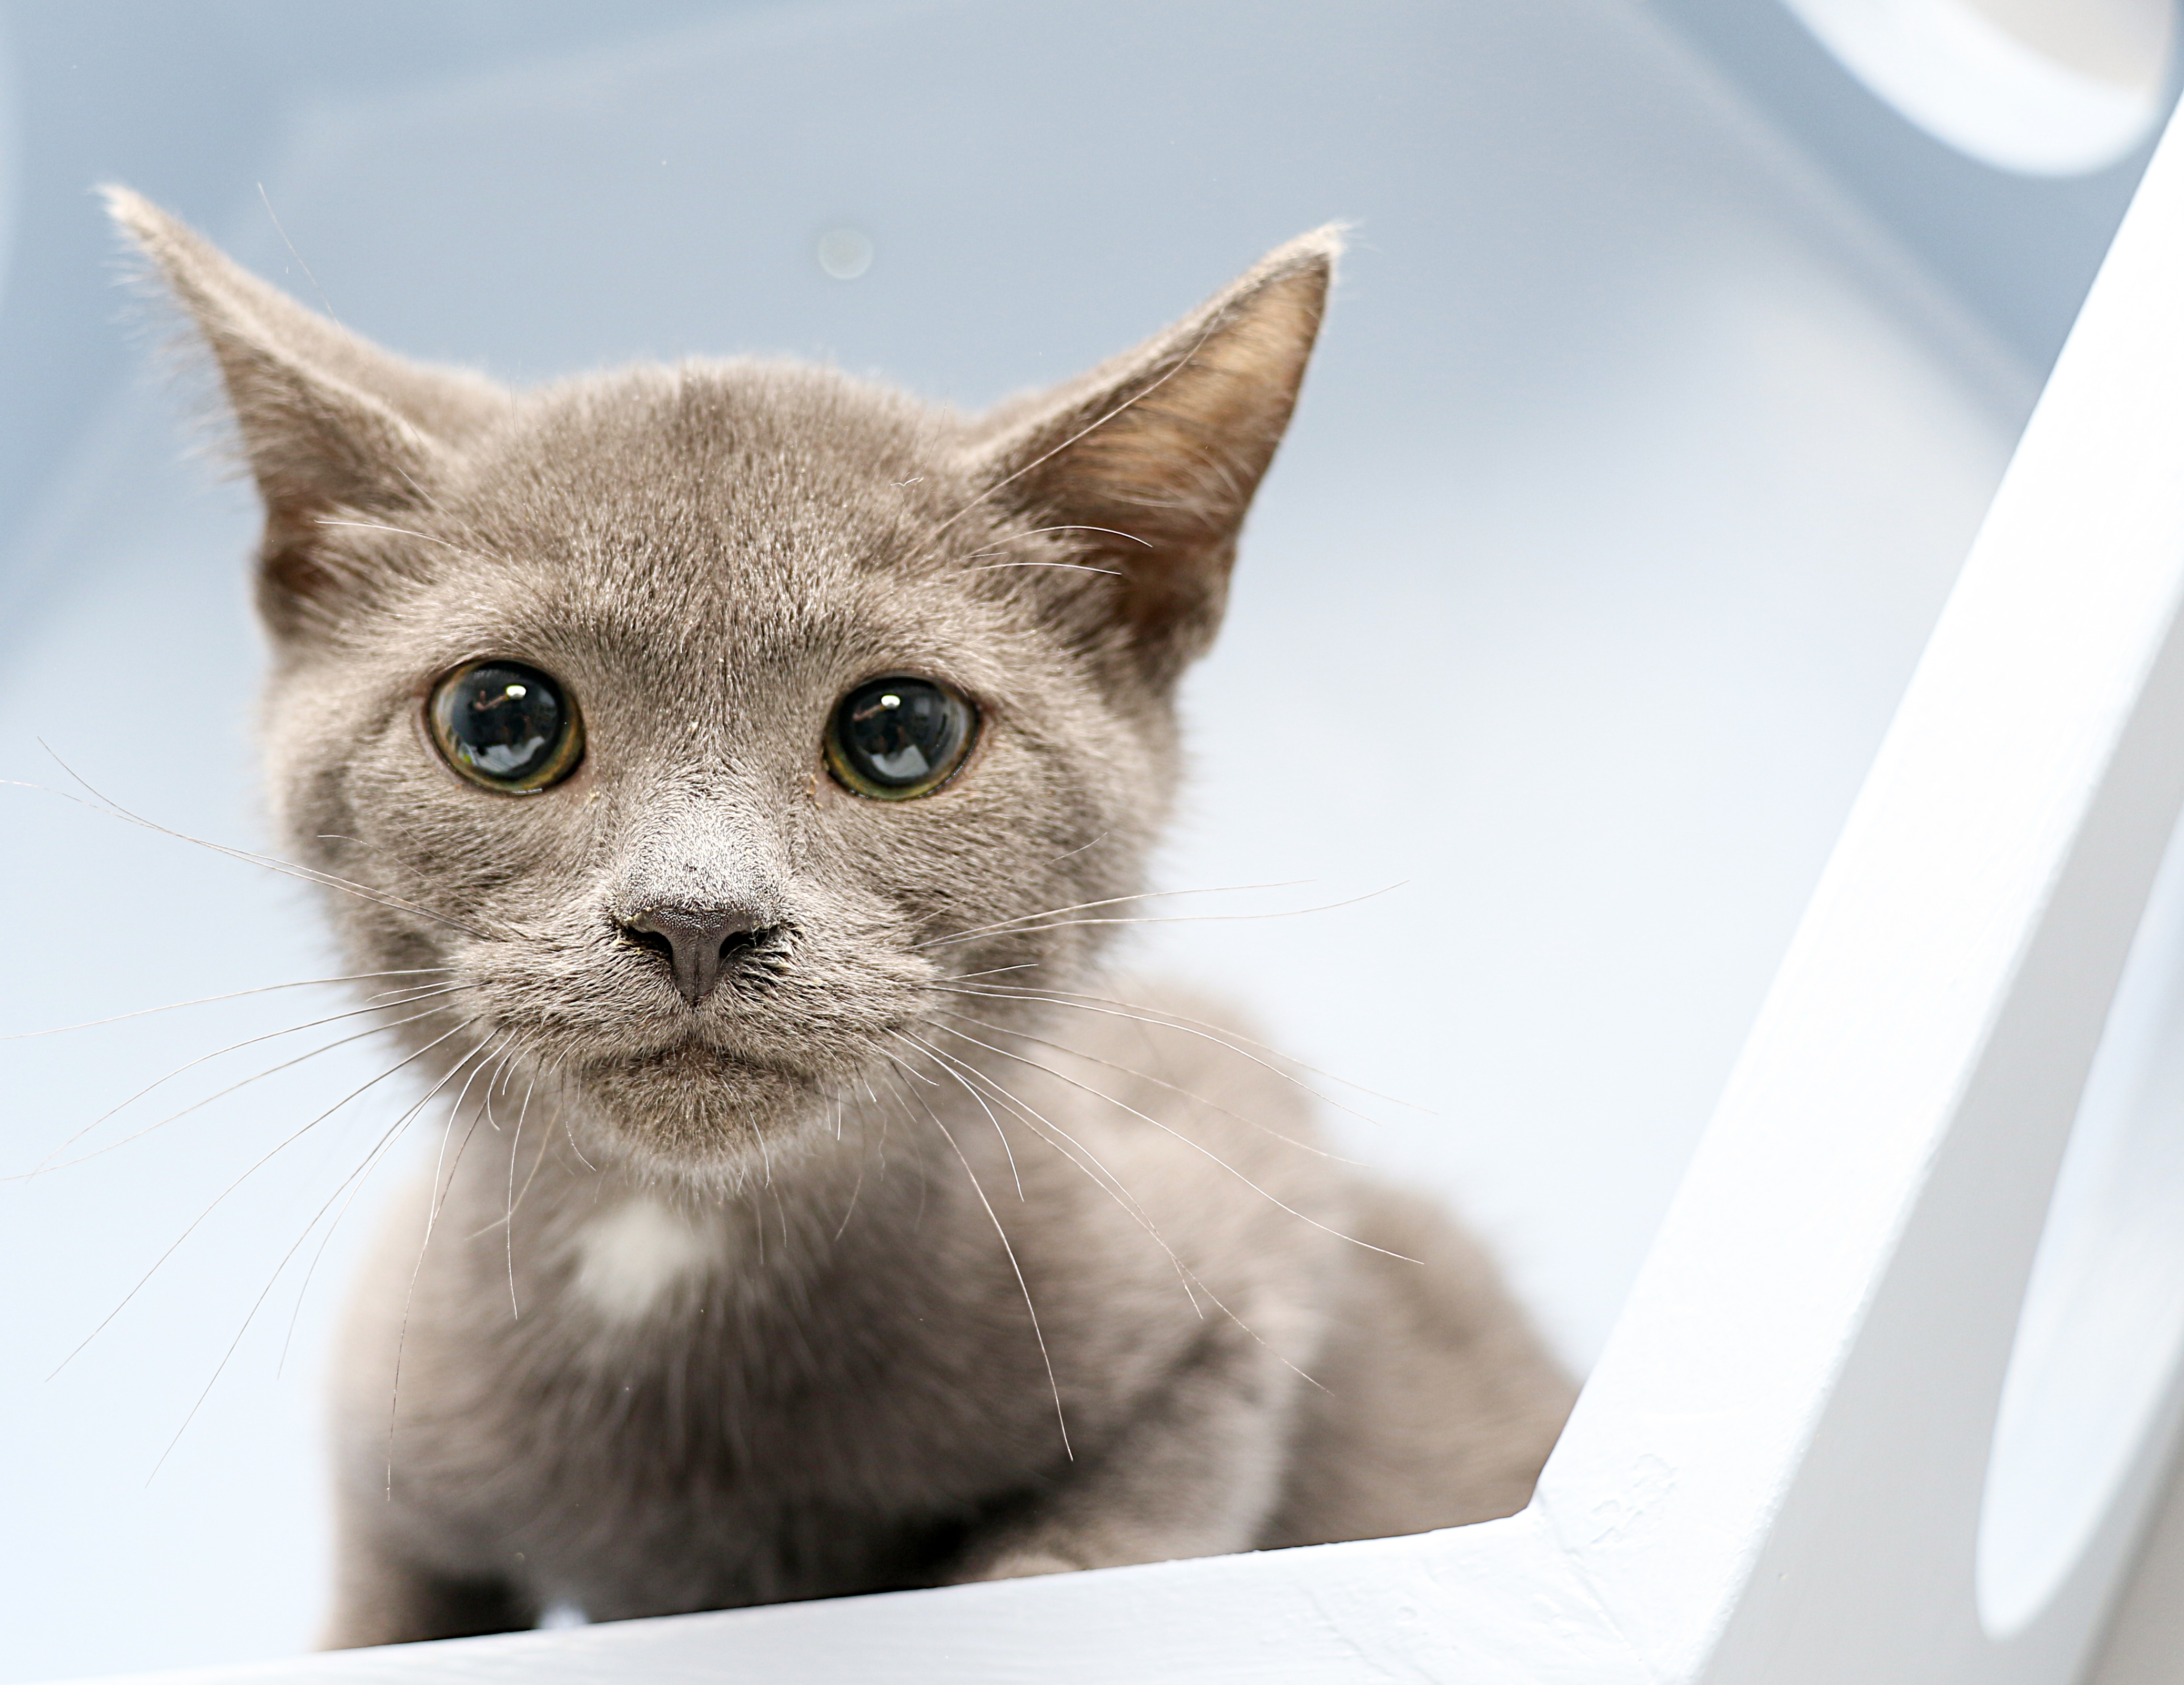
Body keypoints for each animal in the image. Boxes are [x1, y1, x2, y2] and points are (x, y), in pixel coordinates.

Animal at [110, 187, 1572, 1641]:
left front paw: (1031, 1572)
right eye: (501, 721)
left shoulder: (1249, 1200)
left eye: (900, 733)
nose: (697, 915)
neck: (673, 1257)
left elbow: (1163, 1476)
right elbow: (382, 1604)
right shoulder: (387, 1432)